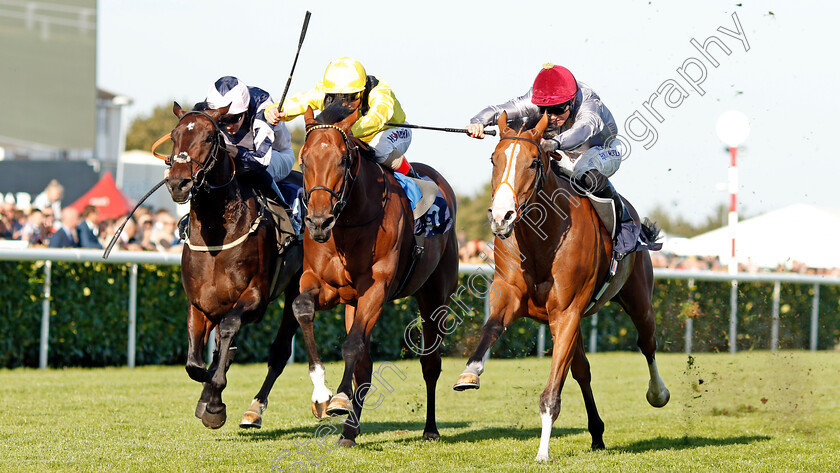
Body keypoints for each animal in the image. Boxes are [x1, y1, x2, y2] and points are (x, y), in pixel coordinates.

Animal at [162, 102, 304, 428]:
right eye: (175, 136)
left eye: (209, 137)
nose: (178, 183)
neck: (217, 234)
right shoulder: (200, 303)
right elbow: (194, 362)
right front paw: (206, 395)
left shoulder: (255, 298)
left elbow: (227, 332)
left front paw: (214, 402)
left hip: (297, 286)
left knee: (279, 352)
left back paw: (255, 410)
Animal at [288, 101, 460, 444]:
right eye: (304, 159)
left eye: (342, 160)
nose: (318, 222)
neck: (348, 223)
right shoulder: (323, 284)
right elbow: (302, 309)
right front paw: (320, 394)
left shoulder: (376, 288)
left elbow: (351, 345)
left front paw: (339, 399)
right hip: (354, 304)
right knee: (364, 367)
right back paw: (349, 432)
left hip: (434, 296)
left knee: (430, 362)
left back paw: (430, 429)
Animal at [452, 111, 668, 460]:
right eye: (494, 158)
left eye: (533, 162)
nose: (501, 217)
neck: (543, 238)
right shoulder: (513, 297)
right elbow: (491, 328)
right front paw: (469, 373)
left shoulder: (567, 312)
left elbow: (552, 391)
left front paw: (542, 452)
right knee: (582, 370)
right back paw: (597, 434)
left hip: (638, 300)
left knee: (647, 342)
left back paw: (658, 393)